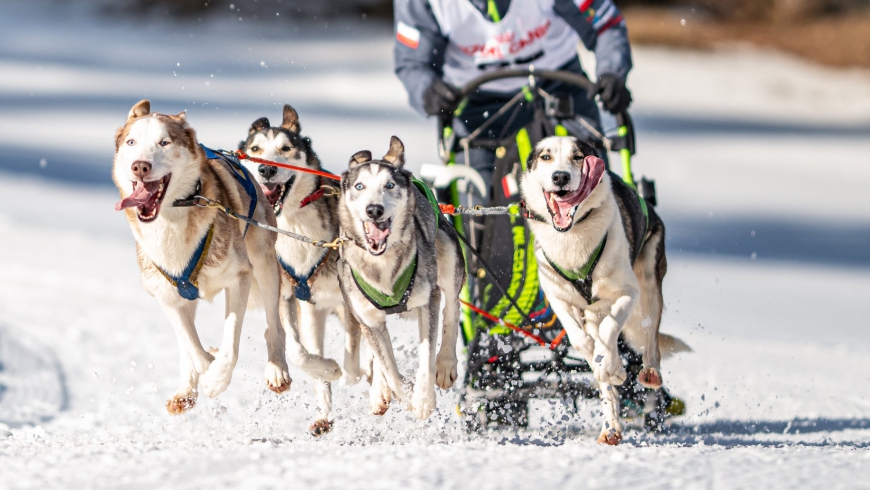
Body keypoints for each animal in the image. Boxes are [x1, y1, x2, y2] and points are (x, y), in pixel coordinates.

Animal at [112, 98, 294, 410]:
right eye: (131, 142)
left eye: (164, 142)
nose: (140, 166)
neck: (172, 222)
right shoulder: (167, 294)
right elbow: (191, 345)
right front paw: (207, 367)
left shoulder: (240, 277)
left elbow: (231, 342)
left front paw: (216, 378)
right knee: (186, 343)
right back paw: (186, 390)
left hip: (264, 262)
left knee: (274, 325)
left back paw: (276, 369)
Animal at [238, 104, 358, 436]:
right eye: (255, 150)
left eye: (286, 149)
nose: (266, 170)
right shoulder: (285, 296)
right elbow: (295, 349)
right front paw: (292, 372)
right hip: (312, 313)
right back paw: (324, 413)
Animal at [338, 136, 466, 420]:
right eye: (359, 186)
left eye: (389, 185)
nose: (374, 209)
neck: (382, 263)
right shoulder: (367, 318)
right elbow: (388, 368)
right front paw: (404, 395)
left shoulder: (427, 300)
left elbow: (426, 356)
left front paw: (423, 399)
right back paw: (379, 391)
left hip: (447, 252)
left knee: (452, 309)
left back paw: (446, 364)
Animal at [520, 135, 692, 444]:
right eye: (545, 157)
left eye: (578, 157)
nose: (560, 177)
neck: (573, 235)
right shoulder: (558, 297)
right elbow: (580, 339)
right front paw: (601, 360)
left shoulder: (627, 293)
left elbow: (611, 329)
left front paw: (609, 363)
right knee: (605, 376)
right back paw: (611, 426)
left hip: (649, 286)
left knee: (650, 337)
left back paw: (647, 371)